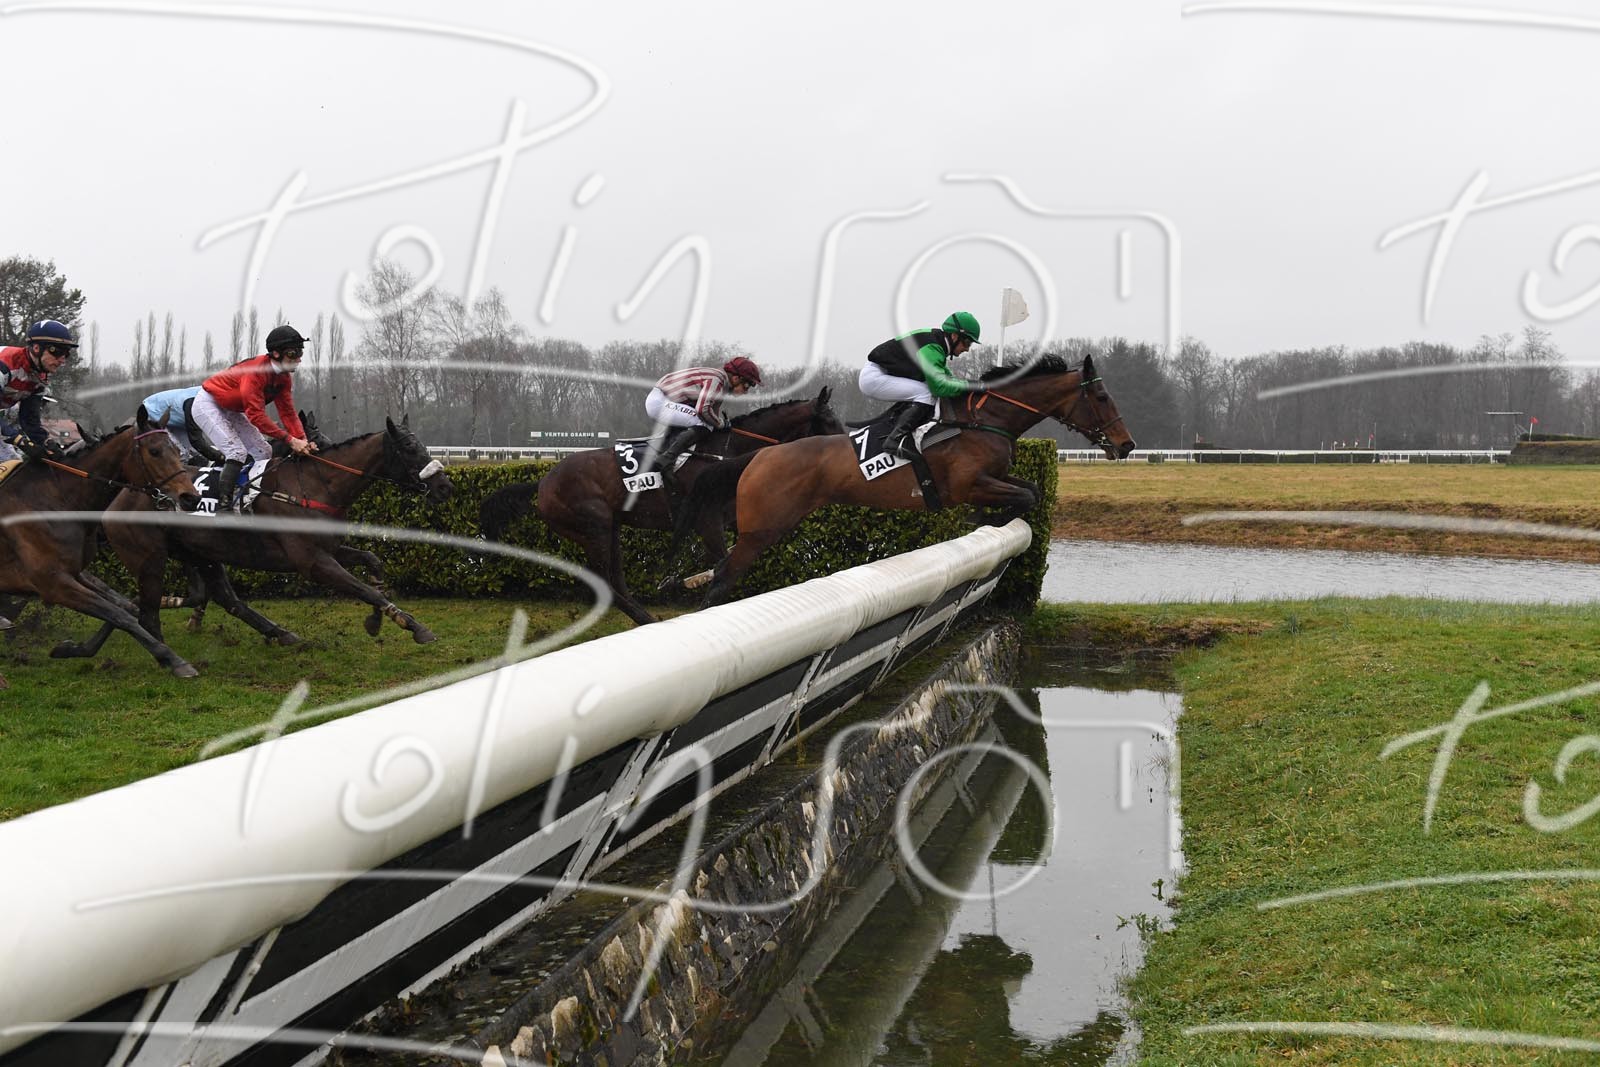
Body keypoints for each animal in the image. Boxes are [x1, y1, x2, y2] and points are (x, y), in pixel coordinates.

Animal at [0, 407, 203, 681]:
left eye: (176, 450)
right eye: (154, 451)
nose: (190, 497)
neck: (56, 500)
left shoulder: (74, 573)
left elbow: (125, 607)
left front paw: (70, 649)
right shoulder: (54, 583)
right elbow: (119, 614)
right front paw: (175, 660)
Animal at [56, 416, 453, 661]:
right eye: (411, 449)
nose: (444, 486)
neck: (314, 486)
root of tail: (119, 497)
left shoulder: (330, 548)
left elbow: (373, 564)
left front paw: (376, 620)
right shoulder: (312, 562)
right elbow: (364, 588)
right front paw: (414, 626)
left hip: (198, 552)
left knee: (207, 599)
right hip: (149, 557)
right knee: (143, 604)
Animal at [479, 388, 845, 625]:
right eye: (830, 421)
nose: (846, 449)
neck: (725, 451)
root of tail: (543, 482)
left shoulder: (729, 521)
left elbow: (729, 559)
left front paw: (681, 582)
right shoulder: (707, 521)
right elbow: (724, 565)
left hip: (610, 530)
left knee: (617, 580)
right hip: (594, 527)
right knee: (607, 584)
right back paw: (646, 618)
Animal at [694, 354, 1135, 606]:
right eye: (1101, 398)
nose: (1126, 444)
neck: (984, 421)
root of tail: (760, 455)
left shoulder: (997, 476)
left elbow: (1032, 490)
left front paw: (988, 518)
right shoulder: (968, 484)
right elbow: (1023, 498)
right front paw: (984, 518)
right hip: (763, 529)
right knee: (722, 577)